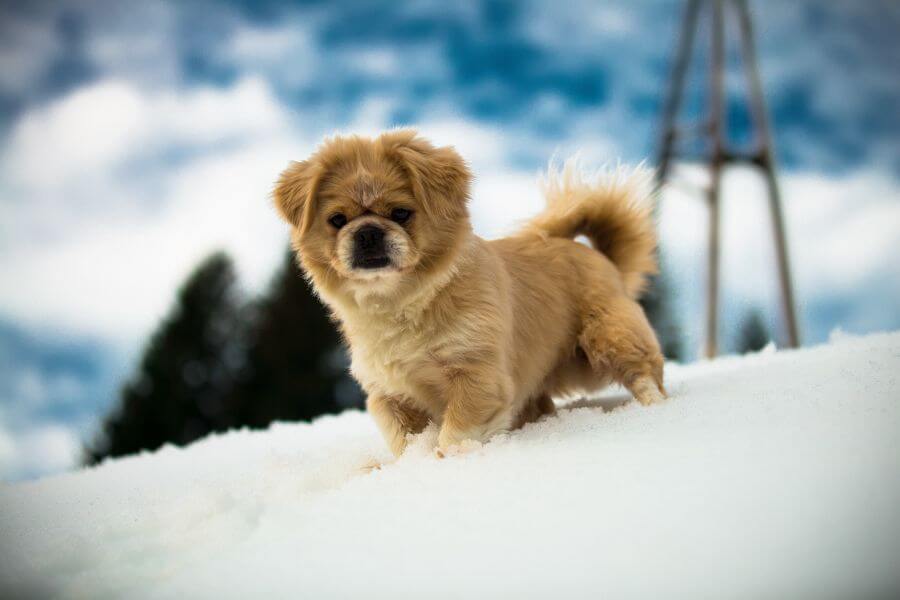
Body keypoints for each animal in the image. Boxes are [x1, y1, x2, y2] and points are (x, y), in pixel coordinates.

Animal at [274, 131, 668, 458]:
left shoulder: (477, 375)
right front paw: (412, 464)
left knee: (644, 373)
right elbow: (405, 439)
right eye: (337, 220)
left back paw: (653, 410)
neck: (401, 302)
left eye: (401, 213)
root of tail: (600, 256)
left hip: (605, 341)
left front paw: (446, 461)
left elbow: (457, 432)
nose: (368, 232)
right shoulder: (390, 394)